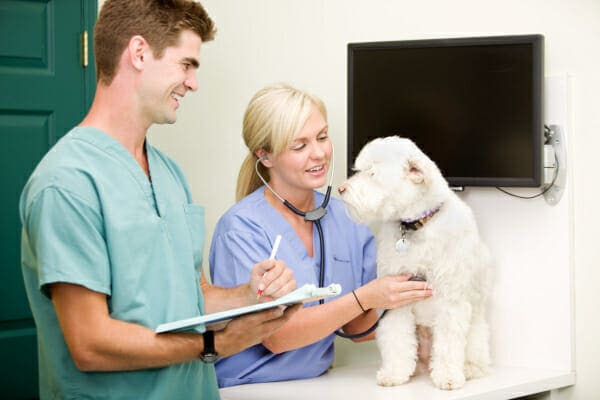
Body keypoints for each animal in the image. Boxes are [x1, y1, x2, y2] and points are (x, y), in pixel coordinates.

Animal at [340, 136, 490, 390]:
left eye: (372, 173)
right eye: (359, 170)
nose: (342, 189)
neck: (415, 227)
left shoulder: (450, 300)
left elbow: (448, 344)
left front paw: (448, 376)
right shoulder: (396, 299)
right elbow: (397, 339)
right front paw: (394, 373)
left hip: (476, 333)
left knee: (475, 357)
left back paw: (468, 369)